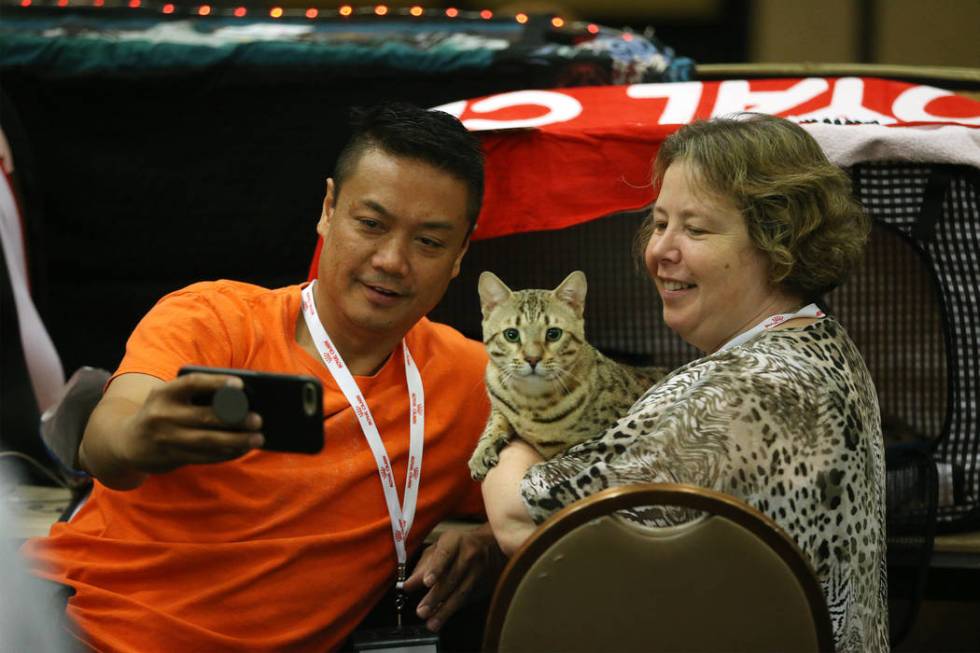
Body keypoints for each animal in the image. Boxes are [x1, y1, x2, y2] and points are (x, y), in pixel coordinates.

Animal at [468, 268, 668, 478]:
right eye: (511, 334)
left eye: (553, 333)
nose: (532, 359)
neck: (532, 403)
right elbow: (496, 420)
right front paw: (483, 449)